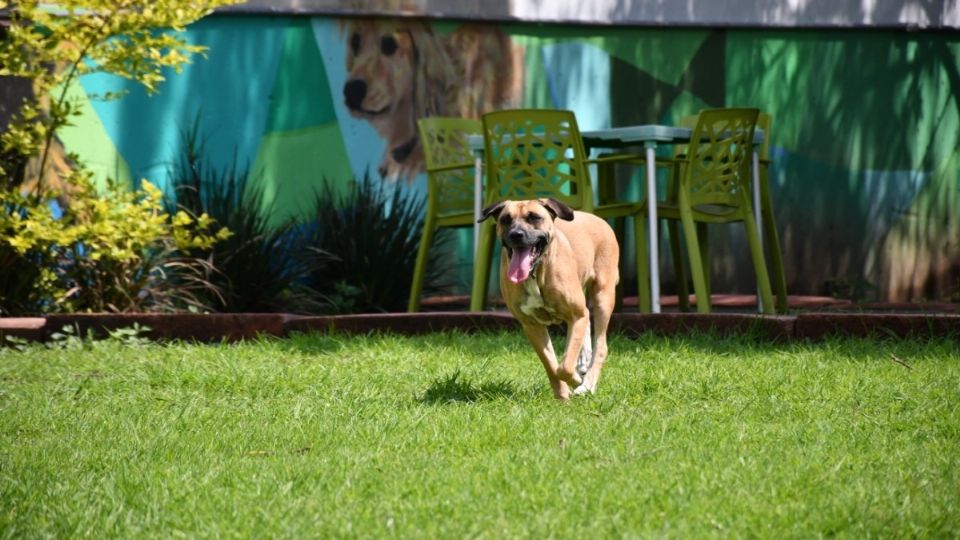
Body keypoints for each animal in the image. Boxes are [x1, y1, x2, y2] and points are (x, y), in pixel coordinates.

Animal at [480, 198, 624, 400]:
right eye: (505, 219)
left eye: (534, 217)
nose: (516, 235)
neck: (535, 272)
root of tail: (596, 218)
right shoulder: (532, 326)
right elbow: (552, 366)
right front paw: (562, 397)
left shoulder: (575, 316)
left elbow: (564, 367)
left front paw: (577, 381)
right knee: (587, 320)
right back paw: (583, 363)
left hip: (603, 295)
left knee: (601, 345)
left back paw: (587, 384)